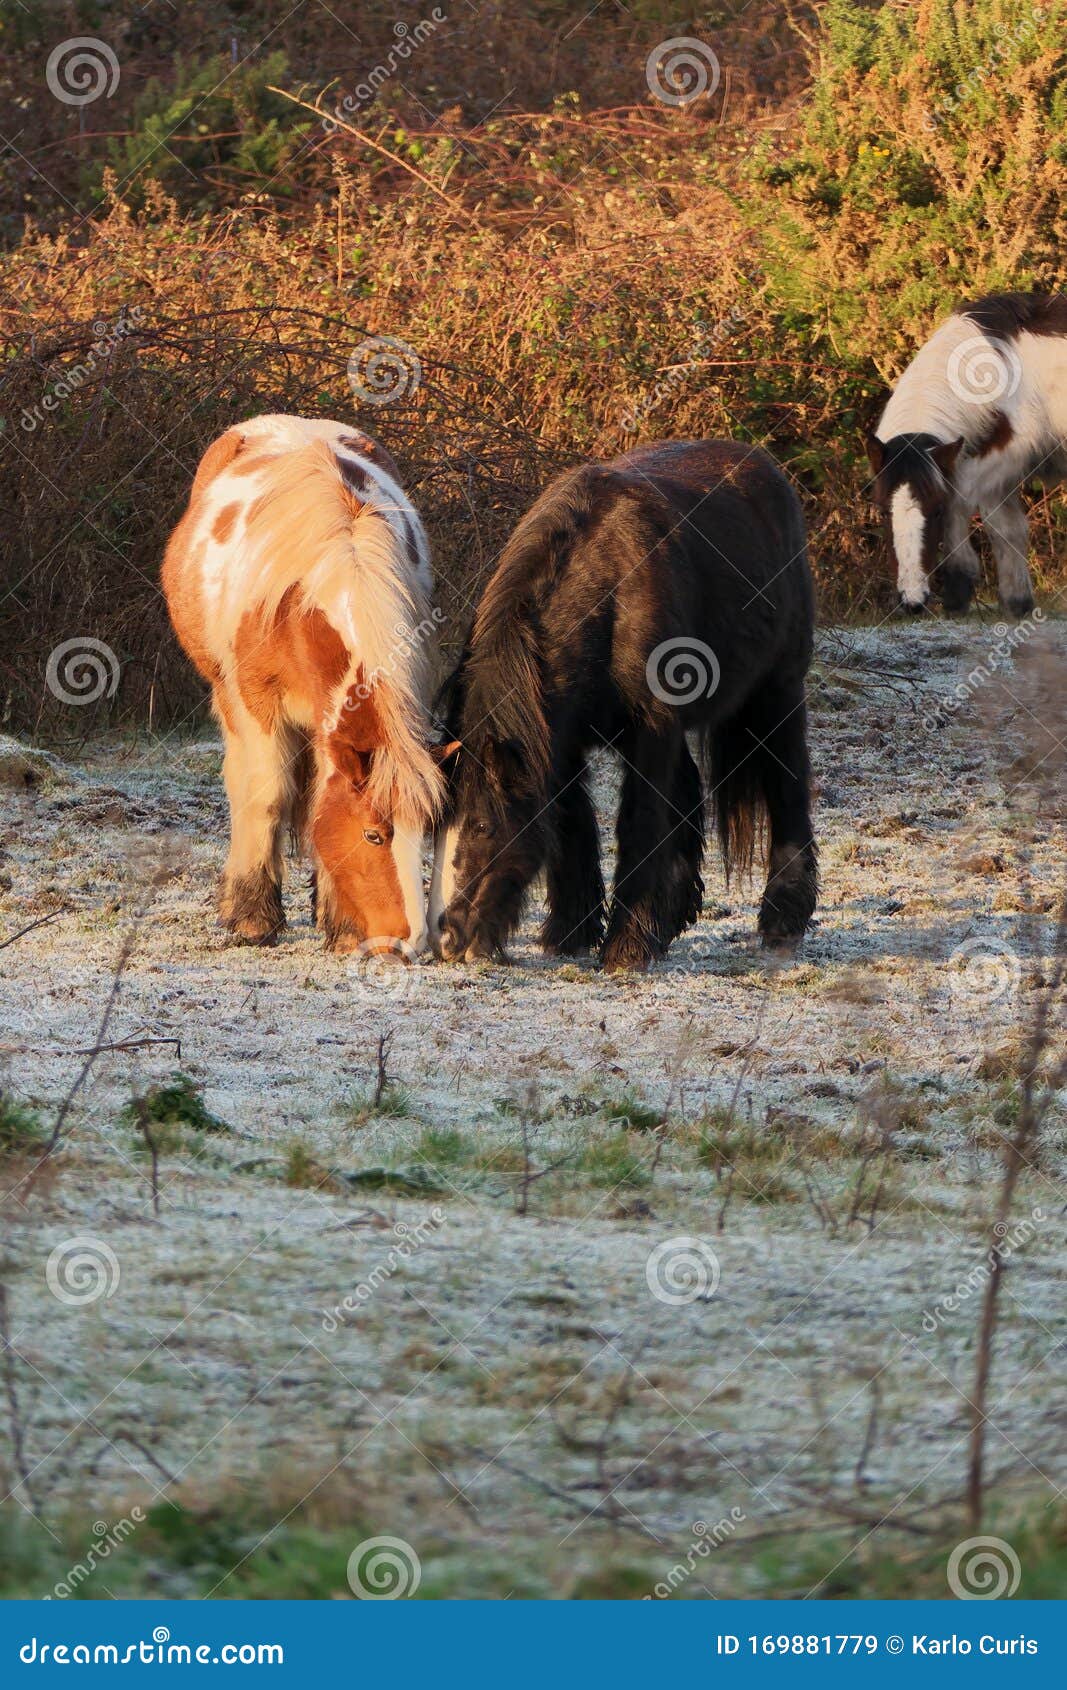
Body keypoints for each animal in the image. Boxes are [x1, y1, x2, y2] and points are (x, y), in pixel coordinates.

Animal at [161, 412, 443, 953]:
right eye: (373, 834)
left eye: (425, 835)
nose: (409, 942)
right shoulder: (257, 706)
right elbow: (267, 796)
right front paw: (253, 919)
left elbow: (318, 803)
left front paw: (342, 924)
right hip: (229, 699)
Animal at [429, 442, 821, 973]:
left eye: (484, 825)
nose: (449, 939)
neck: (608, 592)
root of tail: (766, 468)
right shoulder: (562, 741)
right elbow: (573, 824)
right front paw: (571, 934)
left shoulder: (650, 733)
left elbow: (638, 824)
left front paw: (625, 948)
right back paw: (670, 920)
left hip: (778, 694)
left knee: (787, 787)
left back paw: (782, 921)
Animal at [865, 294, 1067, 618]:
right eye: (884, 511)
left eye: (936, 510)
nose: (912, 601)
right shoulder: (997, 474)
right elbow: (1008, 529)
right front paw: (1017, 603)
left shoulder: (1001, 460)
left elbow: (963, 503)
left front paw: (959, 588)